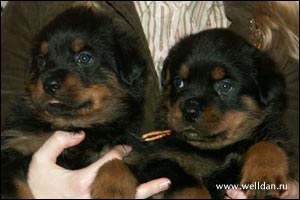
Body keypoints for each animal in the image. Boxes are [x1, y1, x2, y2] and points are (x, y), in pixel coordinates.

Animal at [0, 5, 149, 198]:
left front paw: (112, 191)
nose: (49, 84)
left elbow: (115, 162)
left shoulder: (133, 151)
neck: (75, 125)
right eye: (41, 61)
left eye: (84, 58)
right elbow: (15, 189)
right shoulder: (14, 149)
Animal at [122, 28, 292, 198]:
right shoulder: (163, 160)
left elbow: (266, 143)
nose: (189, 111)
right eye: (179, 82)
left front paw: (264, 176)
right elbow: (193, 187)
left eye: (225, 86)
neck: (216, 150)